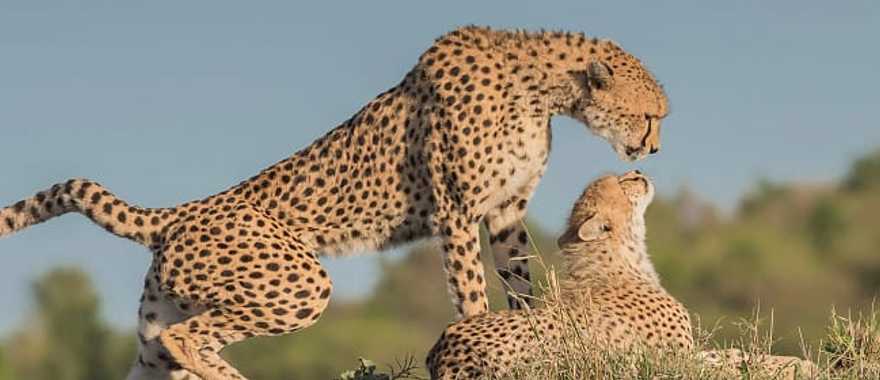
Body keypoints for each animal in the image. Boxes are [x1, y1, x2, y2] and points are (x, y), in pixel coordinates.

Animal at [0, 25, 668, 378]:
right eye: (650, 115)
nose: (653, 150)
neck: (536, 84)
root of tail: (178, 213)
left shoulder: (505, 210)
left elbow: (522, 287)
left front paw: (538, 343)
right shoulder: (456, 212)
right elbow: (474, 297)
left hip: (155, 331)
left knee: (168, 345)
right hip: (299, 282)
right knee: (191, 338)